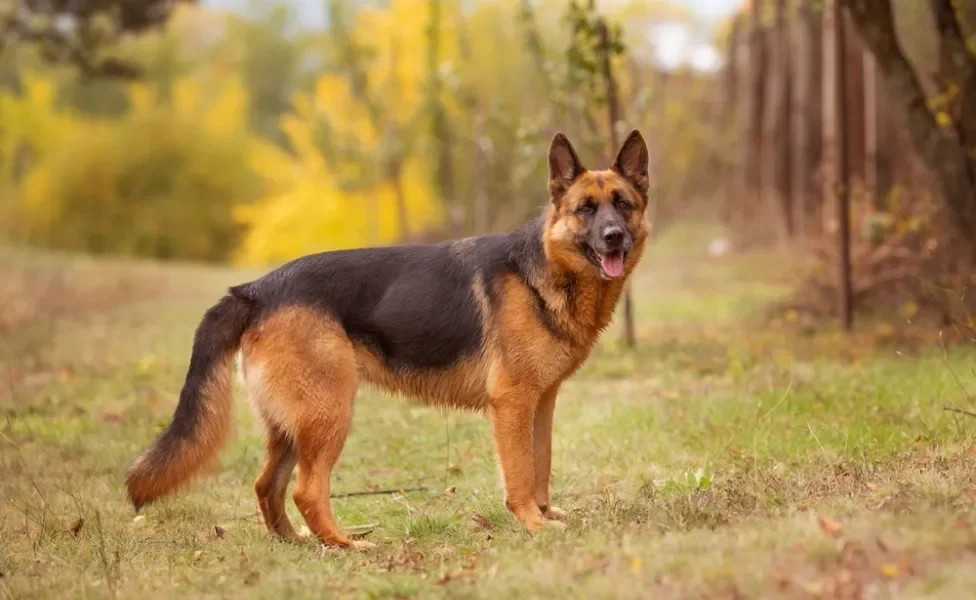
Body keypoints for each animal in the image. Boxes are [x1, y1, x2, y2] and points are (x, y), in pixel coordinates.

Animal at [127, 130, 648, 548]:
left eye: (622, 204)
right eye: (585, 210)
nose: (613, 237)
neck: (545, 268)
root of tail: (255, 290)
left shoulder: (542, 402)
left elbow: (542, 463)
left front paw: (545, 513)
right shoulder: (513, 403)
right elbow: (520, 472)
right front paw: (532, 524)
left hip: (292, 425)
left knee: (266, 485)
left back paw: (297, 542)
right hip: (328, 414)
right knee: (305, 490)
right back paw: (346, 545)